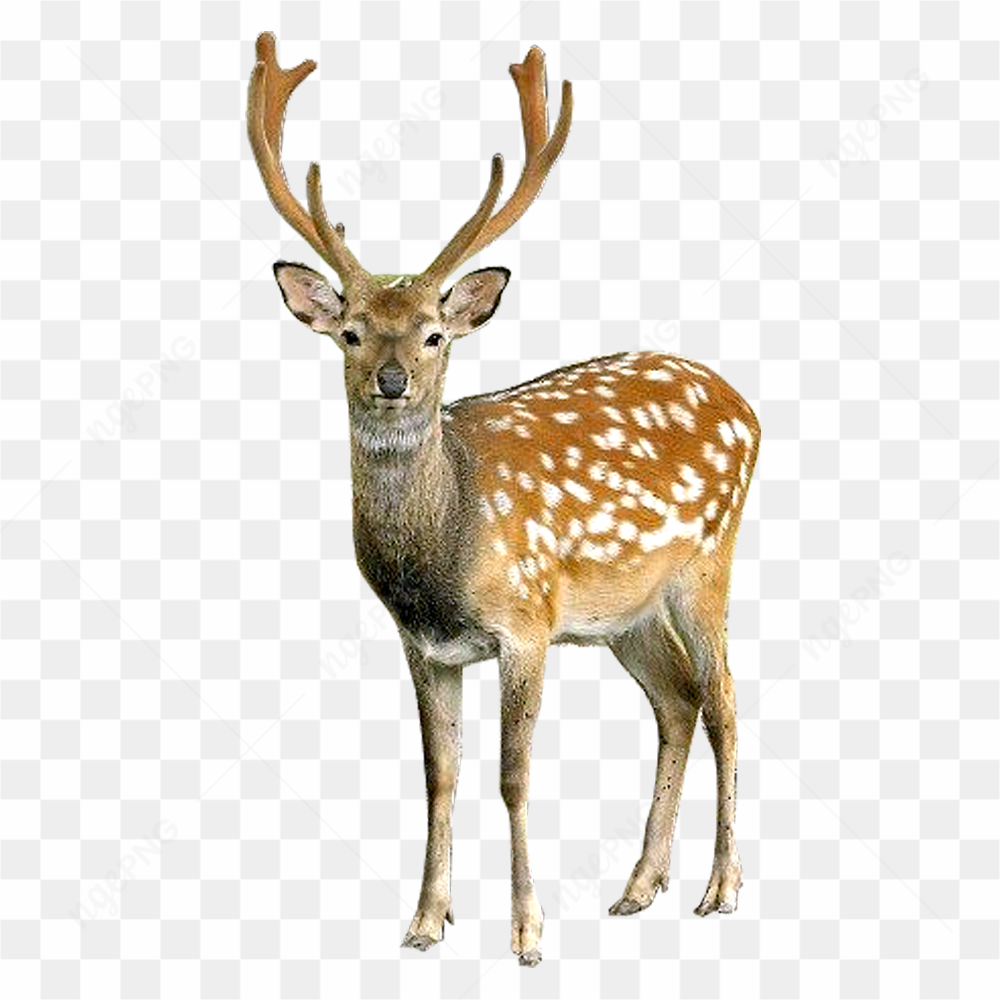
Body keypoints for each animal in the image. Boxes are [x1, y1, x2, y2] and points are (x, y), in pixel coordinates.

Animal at [248, 32, 759, 966]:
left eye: (433, 334)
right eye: (351, 332)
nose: (390, 381)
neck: (443, 552)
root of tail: (747, 406)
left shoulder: (526, 620)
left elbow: (513, 775)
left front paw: (526, 932)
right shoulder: (426, 645)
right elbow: (439, 774)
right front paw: (424, 921)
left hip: (708, 561)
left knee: (727, 702)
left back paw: (719, 888)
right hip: (623, 614)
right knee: (678, 701)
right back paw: (639, 886)